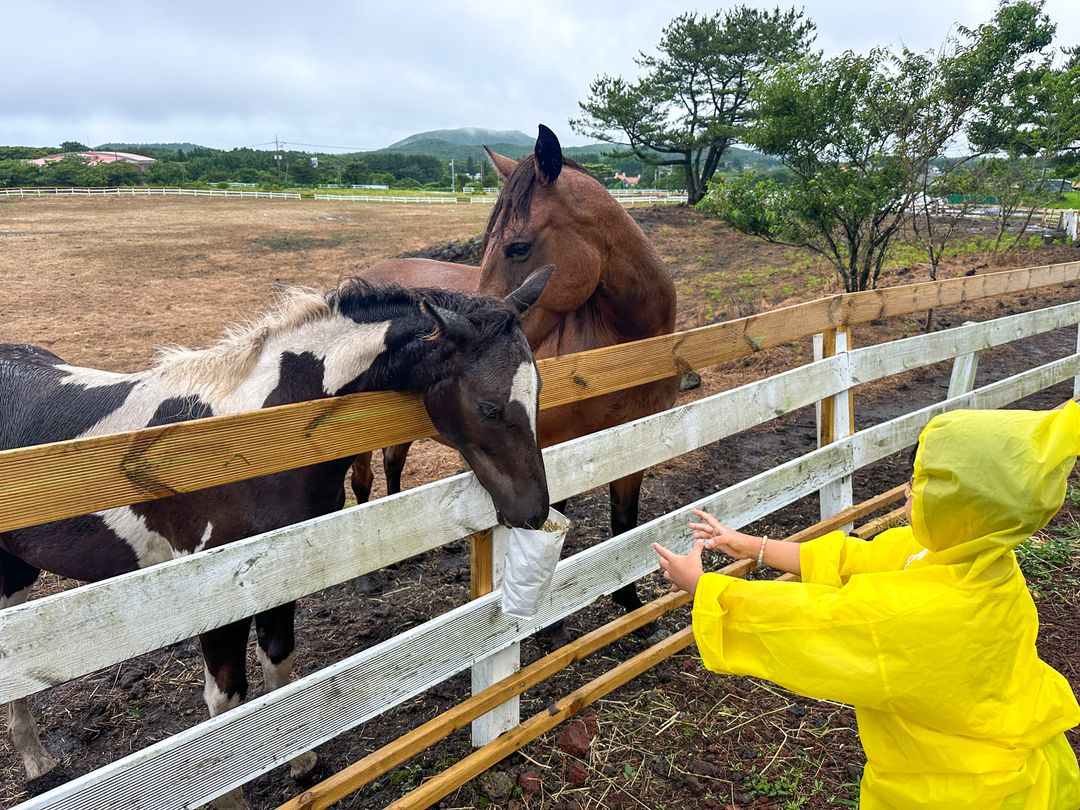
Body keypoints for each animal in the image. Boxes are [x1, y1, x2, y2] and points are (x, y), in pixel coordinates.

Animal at [0, 266, 552, 794]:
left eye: (539, 390)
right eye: (489, 406)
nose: (533, 512)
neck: (255, 437)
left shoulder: (282, 570)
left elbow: (279, 665)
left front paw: (299, 761)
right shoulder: (213, 593)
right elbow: (224, 701)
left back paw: (37, 761)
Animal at [354, 125, 673, 613]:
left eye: (517, 247)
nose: (469, 329)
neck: (625, 350)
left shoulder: (636, 438)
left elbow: (624, 520)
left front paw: (631, 602)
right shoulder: (549, 448)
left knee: (393, 462)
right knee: (362, 479)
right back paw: (370, 576)